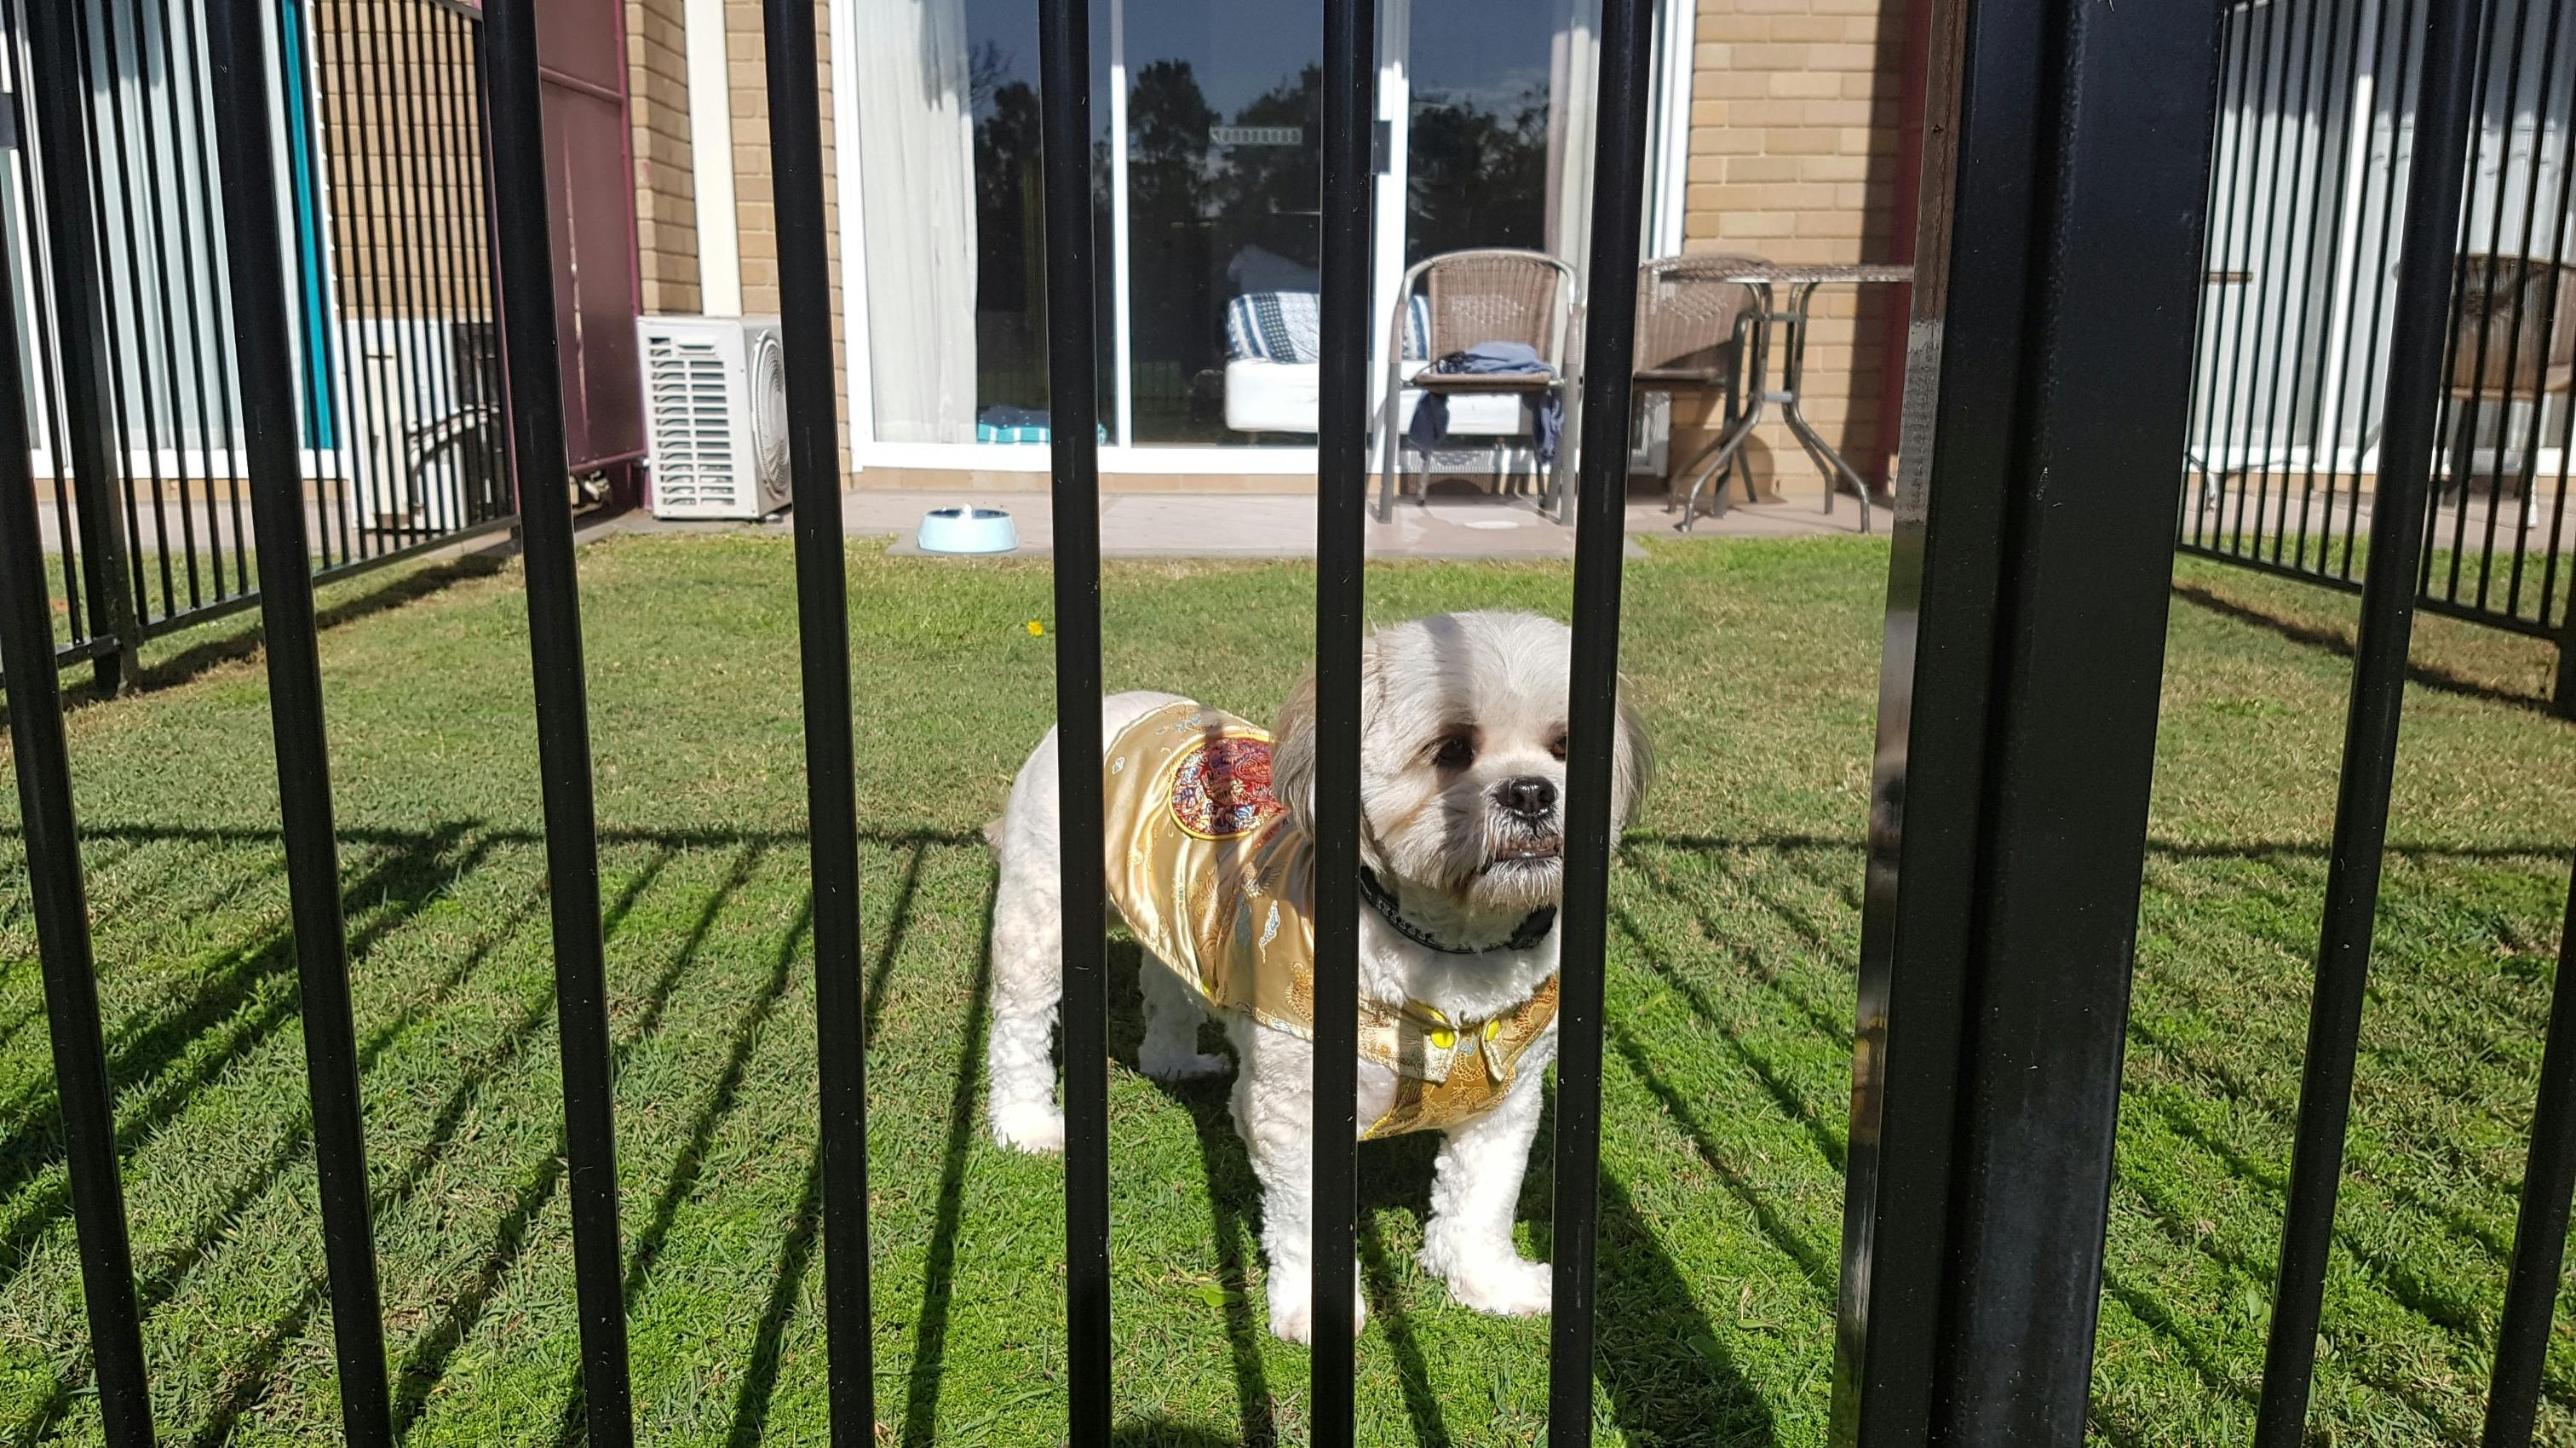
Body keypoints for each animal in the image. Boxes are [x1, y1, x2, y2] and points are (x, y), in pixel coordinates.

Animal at [983, 610, 1650, 1343]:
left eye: (1564, 746)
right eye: (1451, 749)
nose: (1532, 790)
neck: (1449, 954)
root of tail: (1120, 704)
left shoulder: (1505, 1103)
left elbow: (1481, 1202)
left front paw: (1486, 1282)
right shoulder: (1293, 1109)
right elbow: (1304, 1221)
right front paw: (1311, 1306)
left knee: (1167, 987)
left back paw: (1175, 1061)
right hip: (1041, 911)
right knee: (1020, 1023)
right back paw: (1026, 1123)